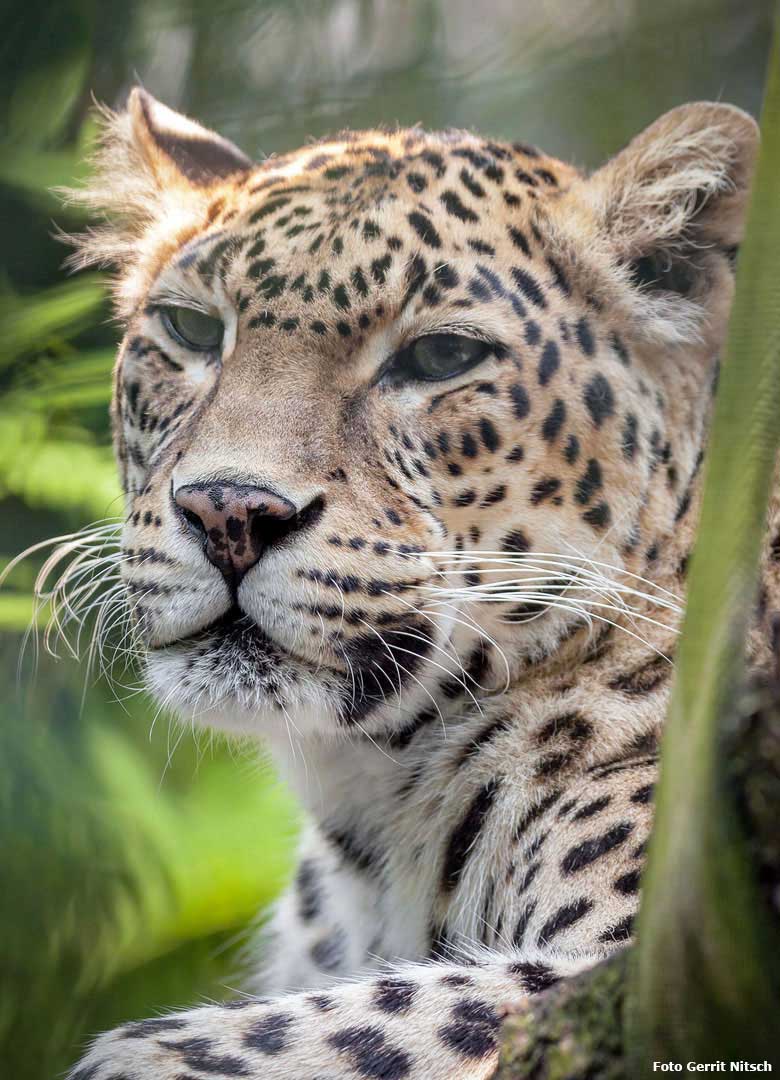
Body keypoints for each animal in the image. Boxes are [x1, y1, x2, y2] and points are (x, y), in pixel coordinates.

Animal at [50, 86, 773, 1080]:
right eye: (191, 331)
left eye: (441, 359)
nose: (229, 512)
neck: (369, 812)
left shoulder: (621, 968)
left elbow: (308, 1033)